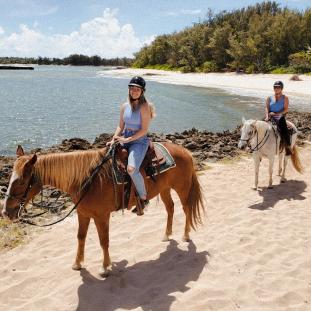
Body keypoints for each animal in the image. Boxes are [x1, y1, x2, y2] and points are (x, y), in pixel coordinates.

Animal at [3, 143, 207, 276]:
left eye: (21, 181)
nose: (6, 212)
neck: (87, 179)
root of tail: (185, 151)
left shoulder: (102, 216)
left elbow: (103, 241)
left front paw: (105, 267)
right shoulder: (83, 213)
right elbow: (81, 237)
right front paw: (77, 263)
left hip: (182, 188)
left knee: (186, 209)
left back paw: (185, 235)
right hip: (164, 189)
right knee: (170, 208)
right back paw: (167, 235)